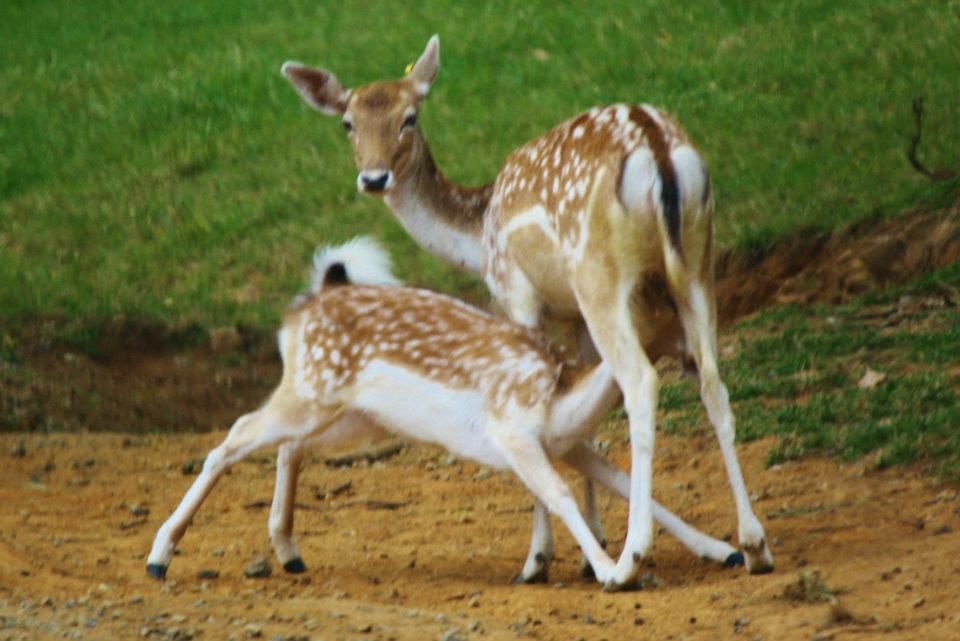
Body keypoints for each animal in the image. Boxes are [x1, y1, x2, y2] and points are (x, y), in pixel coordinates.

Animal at [146, 236, 741, 588]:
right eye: (665, 315)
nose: (699, 356)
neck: (559, 394)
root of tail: (301, 311)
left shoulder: (565, 443)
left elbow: (625, 485)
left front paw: (723, 550)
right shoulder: (512, 431)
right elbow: (560, 493)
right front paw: (610, 571)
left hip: (351, 413)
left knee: (289, 447)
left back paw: (289, 552)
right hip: (310, 391)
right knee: (234, 435)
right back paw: (159, 556)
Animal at [280, 36, 774, 588]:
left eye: (409, 117)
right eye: (348, 122)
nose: (373, 177)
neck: (477, 236)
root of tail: (657, 148)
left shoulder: (516, 292)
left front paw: (539, 559)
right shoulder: (574, 317)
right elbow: (586, 419)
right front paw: (590, 545)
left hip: (598, 275)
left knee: (641, 382)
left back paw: (631, 557)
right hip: (697, 260)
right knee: (713, 381)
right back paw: (753, 545)